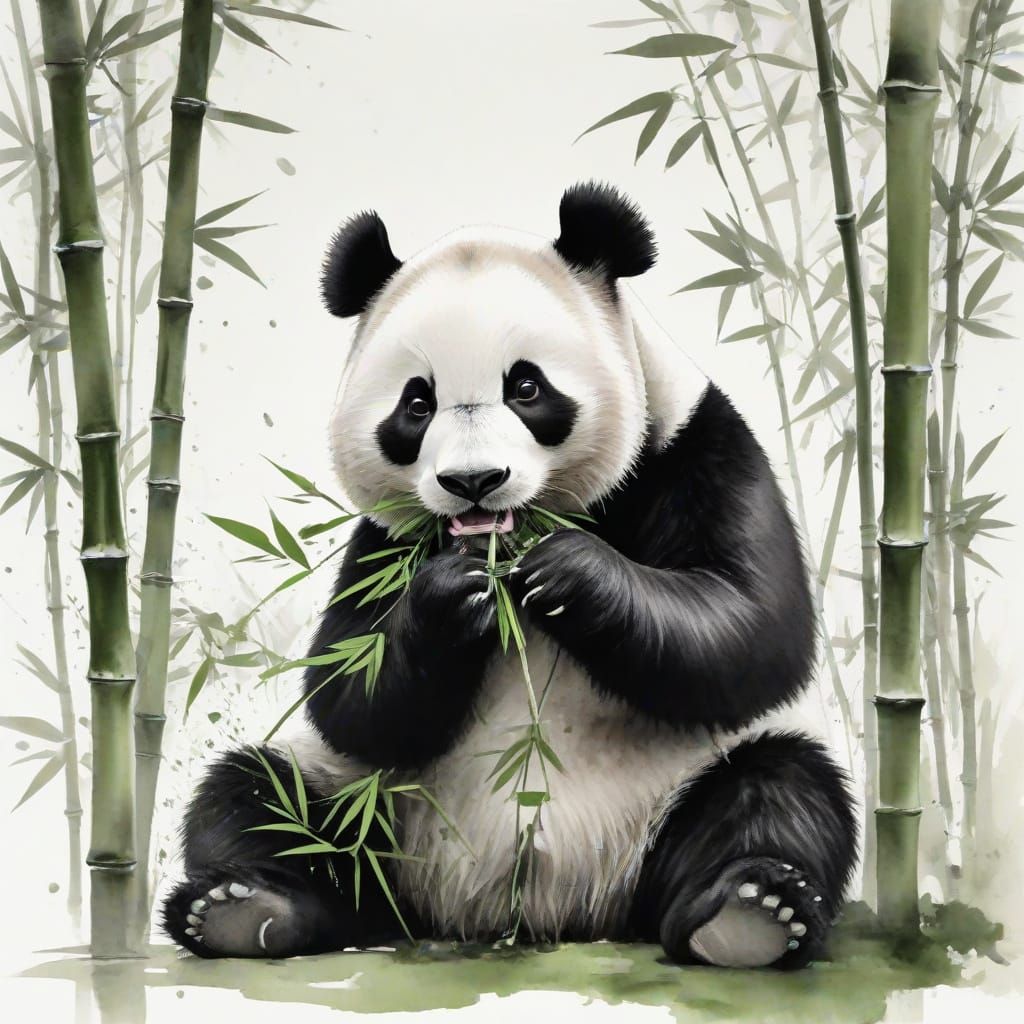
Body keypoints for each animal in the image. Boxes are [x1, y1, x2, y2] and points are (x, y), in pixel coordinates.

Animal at [163, 183, 857, 970]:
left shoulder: (694, 448)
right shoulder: (385, 544)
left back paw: (747, 913)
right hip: (375, 808)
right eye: (417, 402)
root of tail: (523, 912)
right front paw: (449, 598)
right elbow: (350, 689)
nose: (473, 482)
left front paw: (570, 574)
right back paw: (247, 907)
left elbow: (750, 631)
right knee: (262, 801)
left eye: (526, 386)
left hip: (674, 796)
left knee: (777, 791)